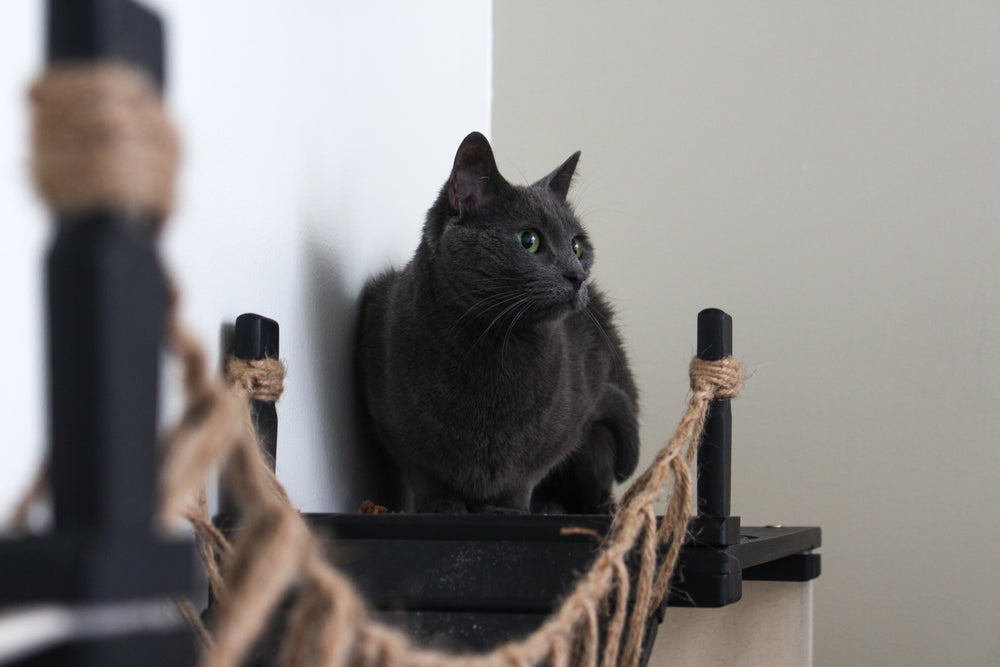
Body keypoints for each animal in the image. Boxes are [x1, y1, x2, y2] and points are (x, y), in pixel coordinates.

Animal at [358, 132, 640, 516]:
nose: (577, 276)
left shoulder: (563, 424)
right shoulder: (395, 425)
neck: (494, 345)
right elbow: (425, 473)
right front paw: (442, 506)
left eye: (577, 246)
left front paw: (507, 510)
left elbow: (523, 474)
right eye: (529, 240)